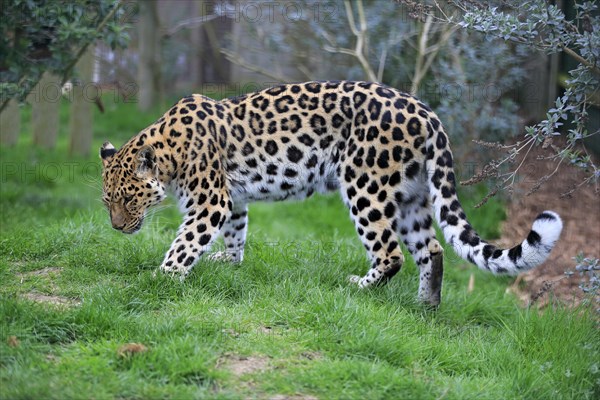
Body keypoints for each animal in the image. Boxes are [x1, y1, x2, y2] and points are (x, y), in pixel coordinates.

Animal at [99, 81, 564, 306]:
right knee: (430, 249)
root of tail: (427, 113)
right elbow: (235, 234)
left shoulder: (211, 200)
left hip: (366, 185)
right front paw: (227, 262)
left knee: (391, 252)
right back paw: (426, 304)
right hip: (411, 196)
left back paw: (360, 286)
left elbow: (185, 242)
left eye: (129, 198)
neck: (169, 152)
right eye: (108, 201)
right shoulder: (233, 198)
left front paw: (161, 278)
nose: (118, 228)